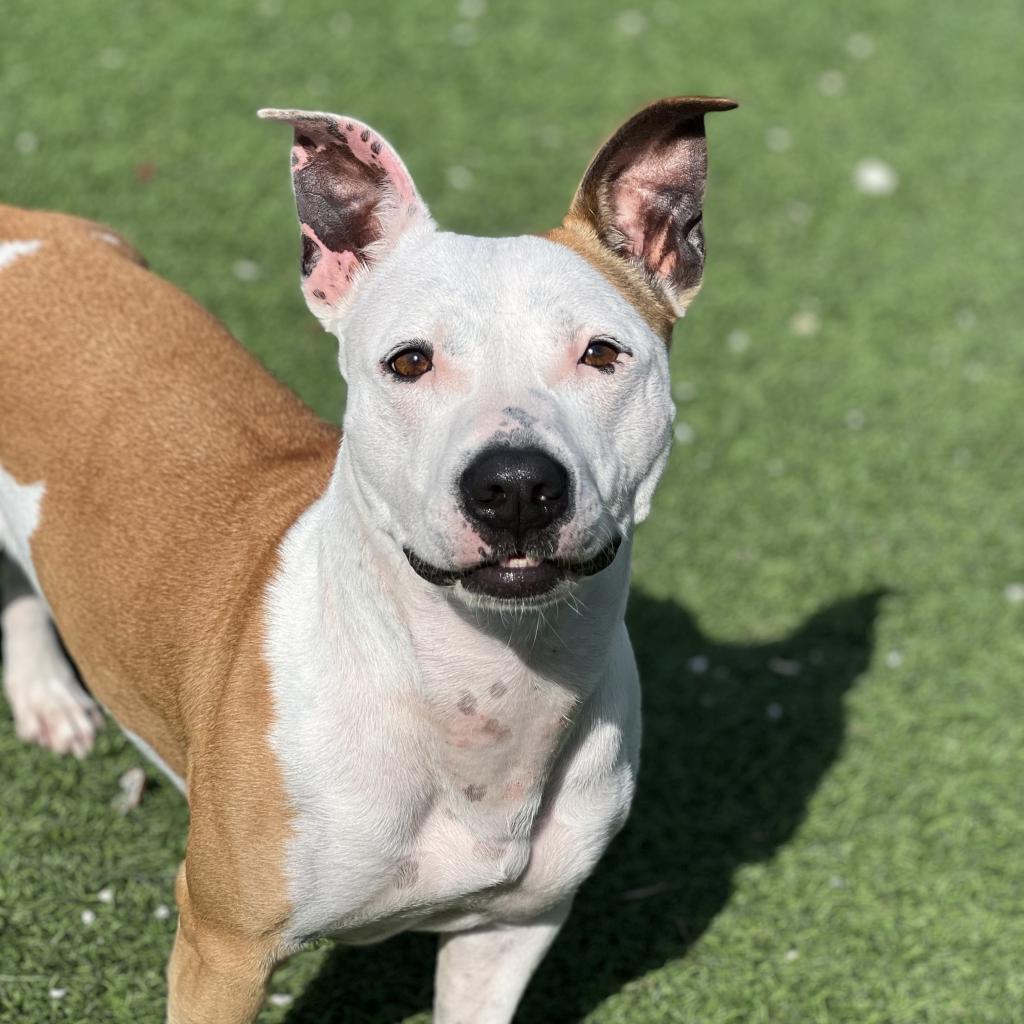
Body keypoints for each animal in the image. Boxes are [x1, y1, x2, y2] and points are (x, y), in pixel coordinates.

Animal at [0, 92, 737, 1019]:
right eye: (409, 361)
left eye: (602, 353)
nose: (515, 484)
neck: (479, 693)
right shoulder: (223, 946)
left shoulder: (511, 934)